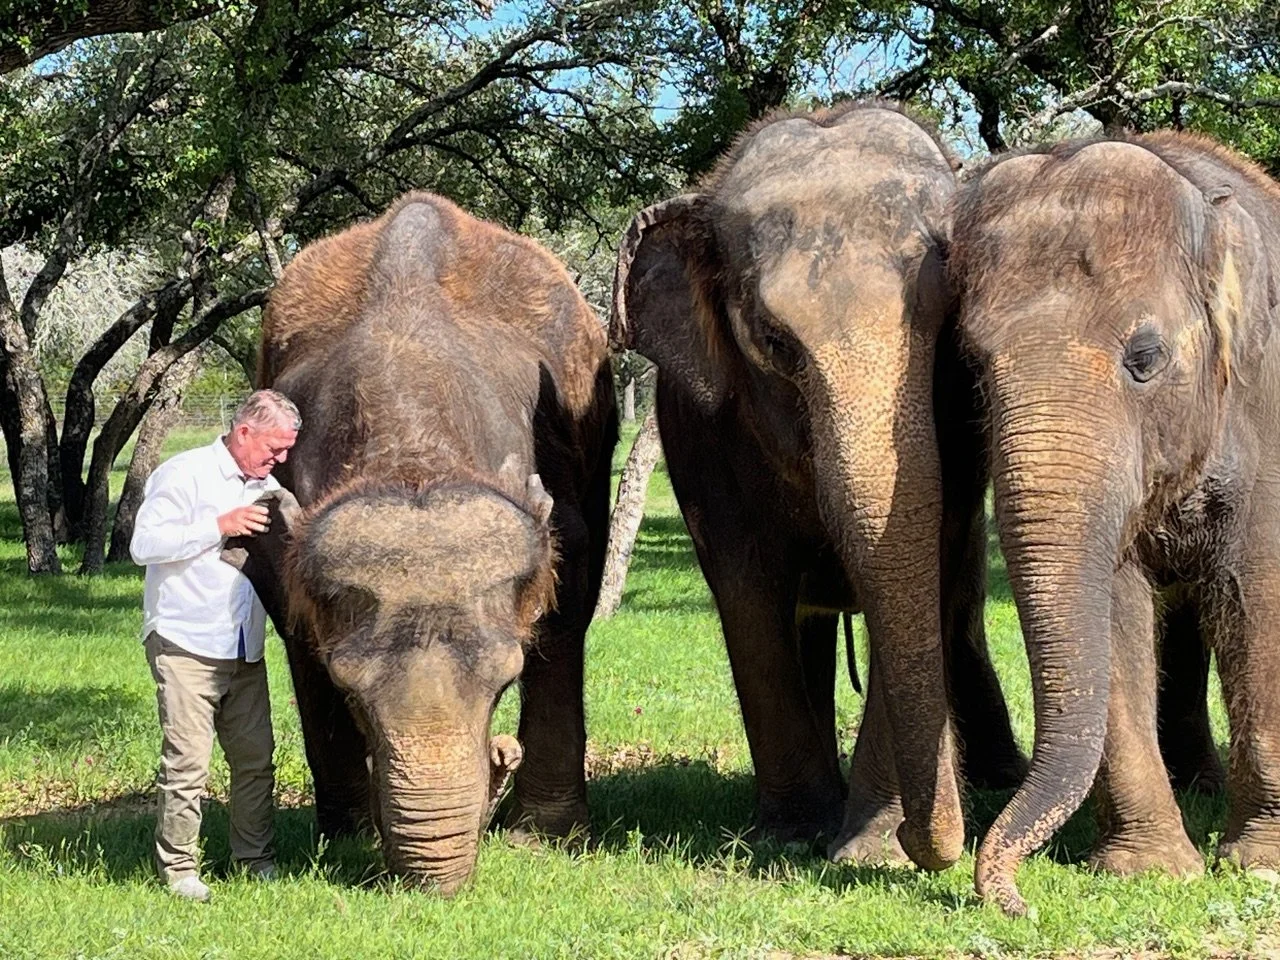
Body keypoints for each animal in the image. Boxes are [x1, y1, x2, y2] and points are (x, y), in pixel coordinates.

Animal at [223, 191, 617, 894]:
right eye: (350, 688)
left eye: (506, 679)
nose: (499, 755)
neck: (413, 446)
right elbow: (295, 629)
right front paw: (347, 838)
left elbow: (568, 596)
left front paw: (542, 837)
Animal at [609, 101, 1025, 870]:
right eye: (775, 342)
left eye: (946, 323)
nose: (938, 845)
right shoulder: (703, 436)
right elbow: (747, 593)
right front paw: (796, 833)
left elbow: (923, 570)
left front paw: (869, 852)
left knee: (956, 606)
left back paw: (997, 777)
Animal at [948, 131, 1280, 916]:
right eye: (971, 368)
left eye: (1145, 357)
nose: (1015, 900)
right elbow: (1119, 607)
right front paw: (1147, 872)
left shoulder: (1266, 400)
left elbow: (1256, 589)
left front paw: (1259, 865)